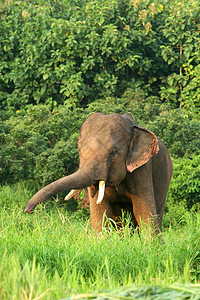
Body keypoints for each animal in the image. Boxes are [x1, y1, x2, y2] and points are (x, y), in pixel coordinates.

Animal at [24, 112, 173, 234]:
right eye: (79, 151)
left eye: (113, 153)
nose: (28, 211)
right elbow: (100, 211)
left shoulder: (142, 169)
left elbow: (143, 210)